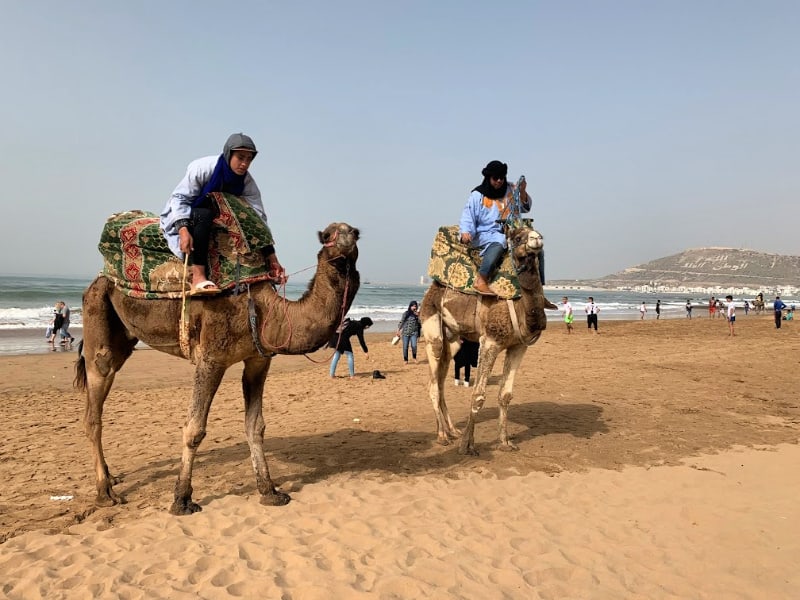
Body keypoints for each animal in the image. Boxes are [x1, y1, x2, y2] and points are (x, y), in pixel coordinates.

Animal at [75, 223, 362, 512]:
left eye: (354, 231)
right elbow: (194, 429)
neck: (267, 310)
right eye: (328, 235)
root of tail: (96, 280)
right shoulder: (211, 359)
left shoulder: (258, 360)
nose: (351, 234)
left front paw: (269, 491)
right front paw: (182, 499)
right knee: (94, 405)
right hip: (98, 315)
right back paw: (105, 492)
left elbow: (255, 426)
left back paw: (110, 477)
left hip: (122, 336)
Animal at [418, 227, 552, 458]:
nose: (537, 239)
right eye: (518, 237)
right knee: (433, 384)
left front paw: (505, 442)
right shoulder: (490, 341)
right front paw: (467, 446)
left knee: (441, 382)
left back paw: (452, 430)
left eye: (538, 232)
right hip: (432, 330)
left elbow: (505, 394)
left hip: (453, 342)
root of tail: (432, 289)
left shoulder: (519, 346)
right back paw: (443, 436)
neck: (522, 307)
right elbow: (478, 394)